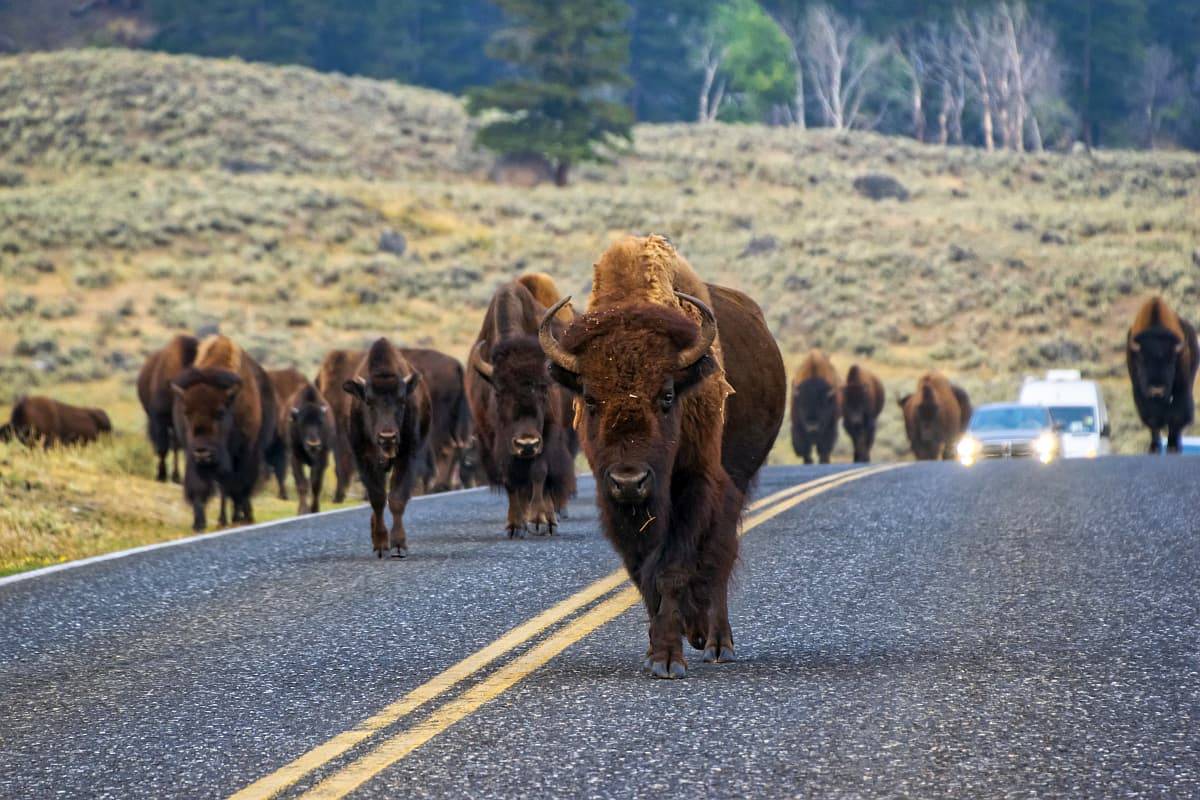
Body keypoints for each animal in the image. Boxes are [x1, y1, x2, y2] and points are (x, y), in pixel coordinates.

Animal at [172, 335, 277, 531]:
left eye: (220, 413)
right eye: (186, 413)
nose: (203, 452)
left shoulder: (244, 453)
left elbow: (238, 487)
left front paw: (241, 517)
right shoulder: (192, 455)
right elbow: (200, 486)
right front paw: (198, 523)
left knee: (235, 489)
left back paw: (239, 517)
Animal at [342, 338, 431, 558]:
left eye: (402, 400)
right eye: (368, 401)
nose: (387, 436)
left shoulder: (407, 456)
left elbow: (396, 498)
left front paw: (398, 544)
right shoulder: (364, 459)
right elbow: (378, 498)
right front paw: (381, 544)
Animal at [466, 274, 576, 537]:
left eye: (544, 389)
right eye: (498, 392)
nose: (527, 444)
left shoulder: (548, 433)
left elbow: (539, 472)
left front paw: (540, 520)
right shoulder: (495, 439)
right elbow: (511, 478)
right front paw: (515, 525)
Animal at [540, 235, 785, 678]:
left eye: (668, 395)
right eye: (590, 398)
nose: (629, 480)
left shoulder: (694, 486)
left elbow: (673, 568)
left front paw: (670, 660)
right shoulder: (614, 502)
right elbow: (644, 575)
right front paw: (659, 649)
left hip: (736, 484)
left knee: (721, 557)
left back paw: (717, 642)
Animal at [1126, 296, 1199, 453]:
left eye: (1171, 361)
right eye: (1142, 360)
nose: (1157, 390)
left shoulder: (1181, 388)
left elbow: (1177, 415)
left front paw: (1172, 446)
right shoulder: (1140, 393)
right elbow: (1152, 418)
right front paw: (1154, 447)